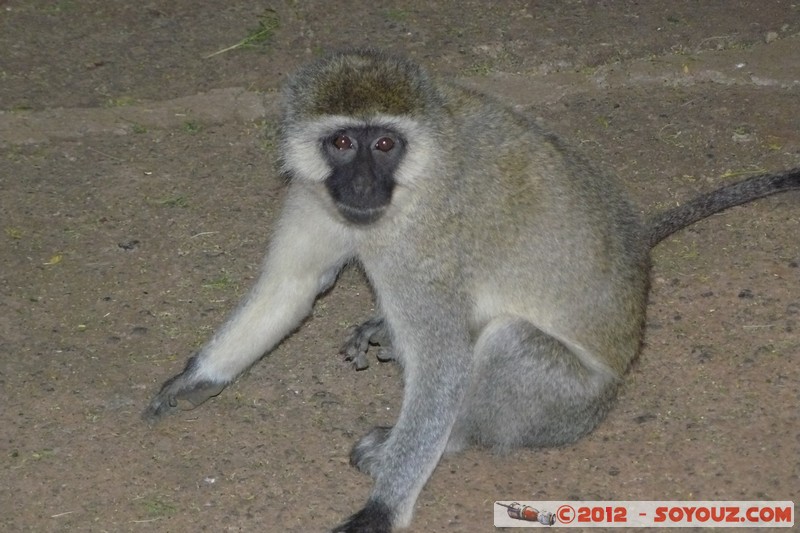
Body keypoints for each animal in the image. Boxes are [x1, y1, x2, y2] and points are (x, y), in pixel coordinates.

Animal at [145, 48, 800, 528]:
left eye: (385, 144)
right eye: (343, 143)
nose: (361, 185)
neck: (413, 178)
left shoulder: (417, 249)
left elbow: (442, 364)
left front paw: (381, 510)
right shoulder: (318, 196)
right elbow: (291, 287)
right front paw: (193, 382)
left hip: (568, 406)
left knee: (505, 343)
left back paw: (444, 437)